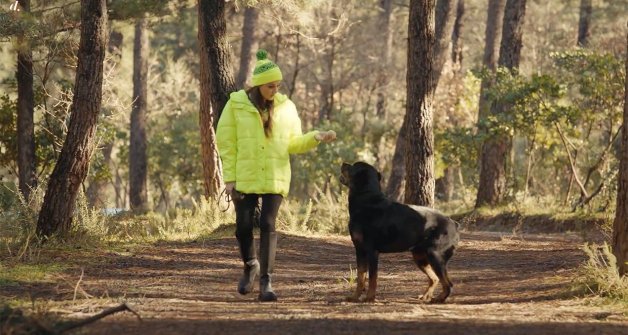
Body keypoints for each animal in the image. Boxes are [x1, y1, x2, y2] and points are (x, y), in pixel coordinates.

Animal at [340, 162, 458, 304]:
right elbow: (360, 276)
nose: (343, 163)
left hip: (435, 255)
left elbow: (373, 277)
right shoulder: (360, 249)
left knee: (447, 283)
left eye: (353, 166)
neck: (367, 200)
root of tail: (453, 223)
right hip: (419, 256)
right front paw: (355, 297)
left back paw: (439, 299)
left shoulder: (372, 251)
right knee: (435, 278)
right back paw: (426, 296)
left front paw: (369, 298)